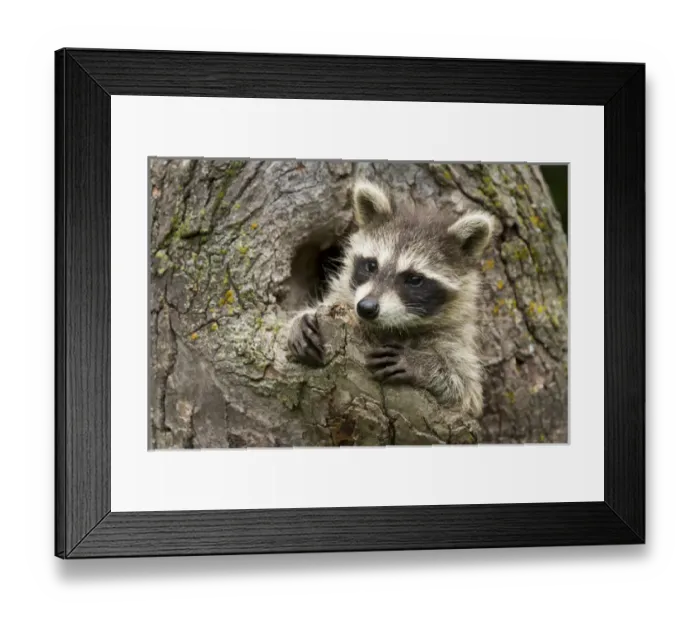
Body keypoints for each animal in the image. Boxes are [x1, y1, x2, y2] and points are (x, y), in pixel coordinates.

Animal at [287, 178, 495, 417]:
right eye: (371, 265)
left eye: (414, 279)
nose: (367, 307)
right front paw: (300, 319)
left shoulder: (455, 337)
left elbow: (467, 391)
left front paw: (422, 364)